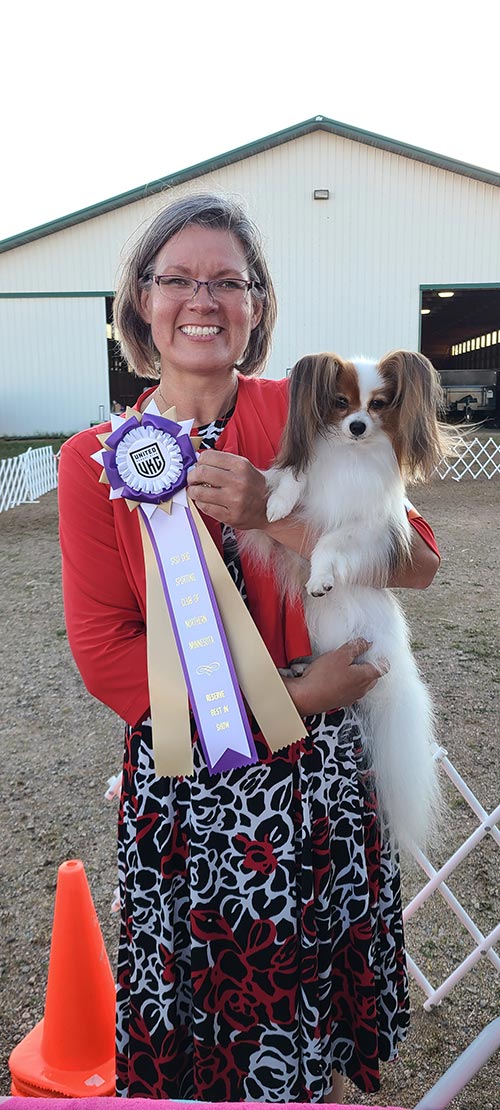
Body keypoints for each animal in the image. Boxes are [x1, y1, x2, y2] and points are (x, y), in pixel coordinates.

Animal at [252, 350, 451, 852]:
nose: (358, 426)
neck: (350, 457)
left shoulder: (369, 529)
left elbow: (331, 542)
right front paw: (278, 502)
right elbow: (289, 477)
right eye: (340, 403)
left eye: (379, 404)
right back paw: (296, 670)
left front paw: (322, 579)